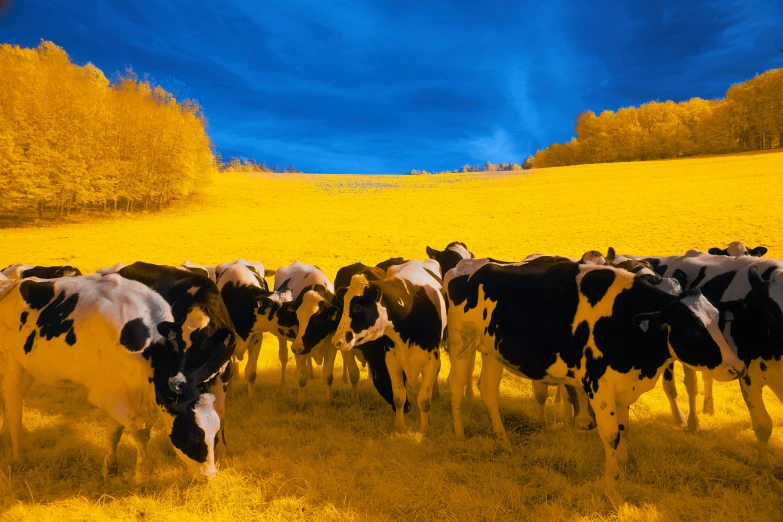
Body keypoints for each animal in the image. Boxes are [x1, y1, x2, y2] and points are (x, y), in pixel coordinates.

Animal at [0, 274, 220, 482]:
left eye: (216, 433)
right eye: (195, 436)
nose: (210, 475)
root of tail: (14, 284)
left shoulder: (120, 390)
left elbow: (115, 432)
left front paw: (110, 470)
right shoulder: (105, 393)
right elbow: (140, 430)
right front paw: (142, 475)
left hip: (26, 370)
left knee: (7, 406)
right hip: (11, 364)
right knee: (14, 411)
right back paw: (19, 458)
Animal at [113, 262, 236, 452]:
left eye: (204, 344)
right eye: (177, 341)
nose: (177, 382)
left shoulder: (224, 373)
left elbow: (220, 412)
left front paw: (222, 448)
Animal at [330, 258, 448, 430]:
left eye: (358, 306)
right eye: (343, 306)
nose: (337, 340)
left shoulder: (432, 360)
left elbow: (424, 400)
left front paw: (424, 430)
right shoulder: (391, 358)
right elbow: (398, 396)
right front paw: (399, 427)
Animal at [444, 258, 744, 476]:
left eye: (718, 320)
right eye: (692, 329)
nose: (737, 367)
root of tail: (467, 266)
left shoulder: (623, 386)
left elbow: (623, 429)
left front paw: (623, 464)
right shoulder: (599, 385)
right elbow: (610, 434)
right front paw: (612, 481)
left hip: (492, 351)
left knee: (488, 390)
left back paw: (503, 439)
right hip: (462, 342)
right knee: (456, 386)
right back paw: (459, 434)